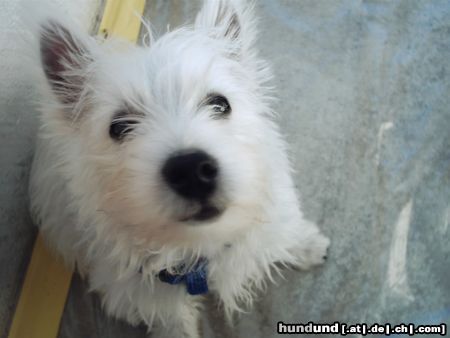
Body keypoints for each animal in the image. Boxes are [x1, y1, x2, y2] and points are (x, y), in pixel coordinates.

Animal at [29, 1, 330, 336]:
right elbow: (171, 320)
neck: (199, 246)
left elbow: (278, 230)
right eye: (119, 127)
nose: (191, 171)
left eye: (220, 104)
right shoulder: (142, 294)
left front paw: (307, 245)